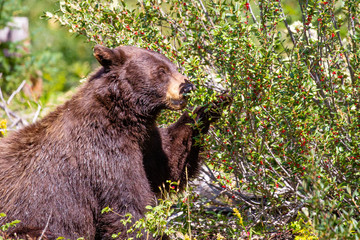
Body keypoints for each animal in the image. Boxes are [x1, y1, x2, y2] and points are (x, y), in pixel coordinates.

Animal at [0, 44, 231, 238]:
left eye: (173, 66)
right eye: (160, 71)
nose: (187, 87)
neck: (123, 117)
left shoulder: (145, 140)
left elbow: (170, 165)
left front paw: (213, 105)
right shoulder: (105, 151)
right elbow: (127, 205)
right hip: (24, 221)